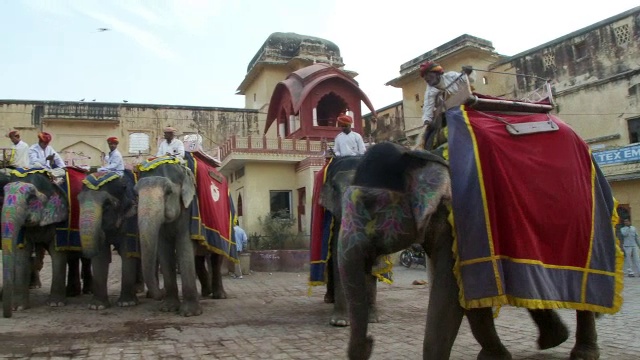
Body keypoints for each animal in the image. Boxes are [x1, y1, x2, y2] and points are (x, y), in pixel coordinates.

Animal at [78, 171, 141, 310]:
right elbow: (101, 257)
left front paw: (127, 303)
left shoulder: (131, 219)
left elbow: (127, 253)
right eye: (78, 201)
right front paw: (97, 306)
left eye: (107, 205)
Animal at [342, 124, 624, 358]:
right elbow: (468, 296)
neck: (420, 156)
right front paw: (494, 357)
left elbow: (451, 291)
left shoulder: (464, 215)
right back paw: (553, 339)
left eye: (370, 207)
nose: (370, 342)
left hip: (591, 221)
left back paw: (583, 353)